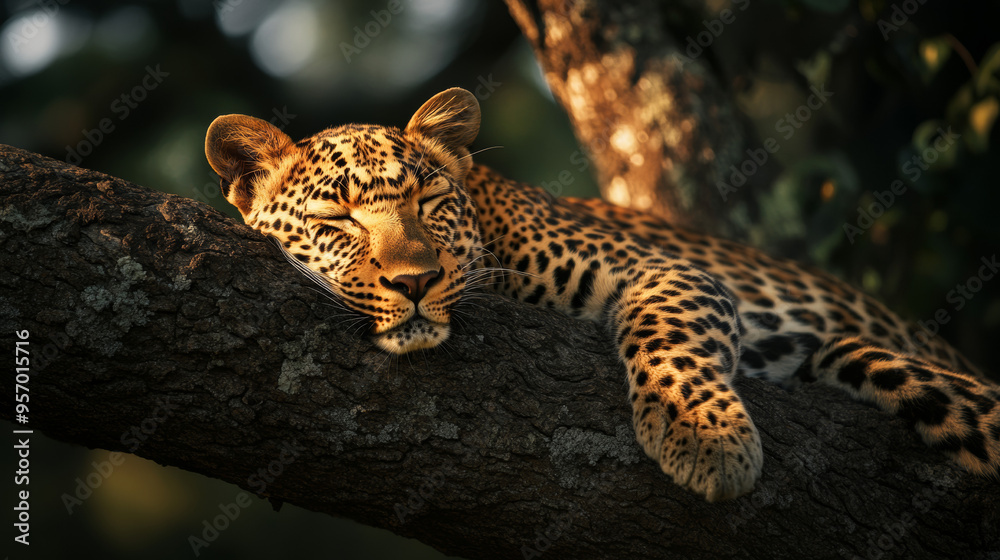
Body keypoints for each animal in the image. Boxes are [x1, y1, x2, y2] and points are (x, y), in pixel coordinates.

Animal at [205, 87, 1000, 502]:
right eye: (337, 220)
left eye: (429, 201)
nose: (415, 281)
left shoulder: (671, 271)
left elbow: (670, 335)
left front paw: (706, 438)